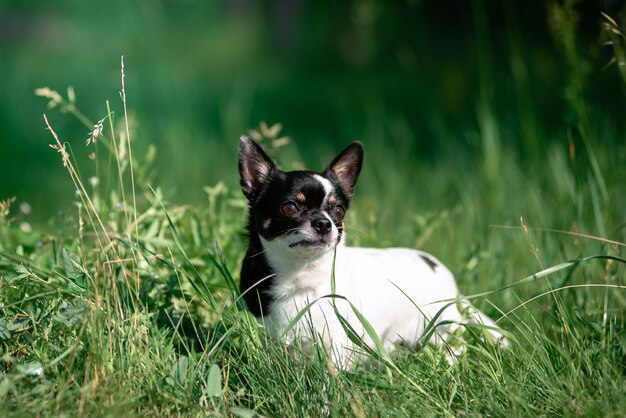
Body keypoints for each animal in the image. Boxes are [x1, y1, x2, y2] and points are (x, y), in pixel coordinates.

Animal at [236, 137, 504, 366]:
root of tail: (440, 269)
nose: (324, 223)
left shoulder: (336, 341)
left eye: (338, 210)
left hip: (442, 329)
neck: (301, 277)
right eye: (290, 207)